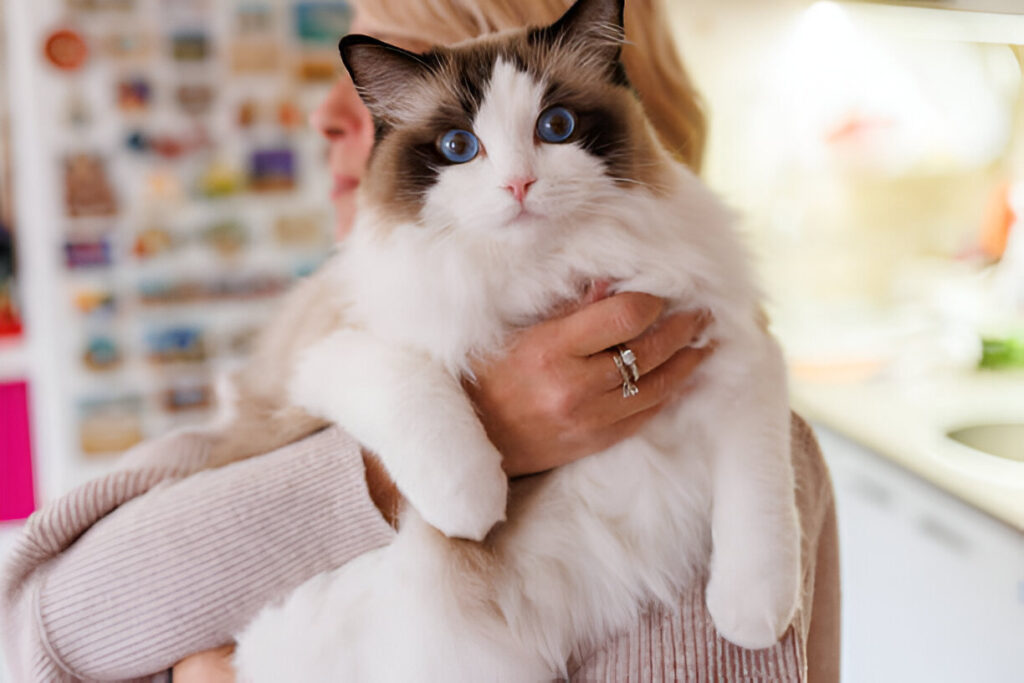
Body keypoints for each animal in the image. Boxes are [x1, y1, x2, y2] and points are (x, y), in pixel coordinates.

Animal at [222, 0, 798, 679]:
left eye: (557, 126)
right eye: (458, 147)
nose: (519, 185)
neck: (545, 276)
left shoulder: (735, 354)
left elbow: (758, 509)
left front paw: (752, 620)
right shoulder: (329, 351)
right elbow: (421, 399)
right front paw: (474, 501)